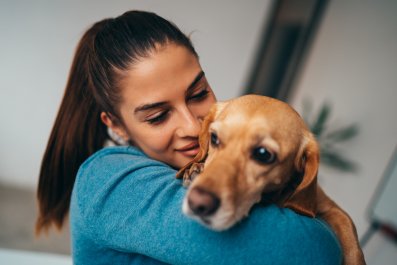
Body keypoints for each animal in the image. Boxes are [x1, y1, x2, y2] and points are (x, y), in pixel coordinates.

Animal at [176, 95, 366, 264]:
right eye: (214, 138)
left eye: (263, 154)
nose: (197, 203)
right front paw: (196, 169)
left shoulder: (333, 210)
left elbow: (352, 244)